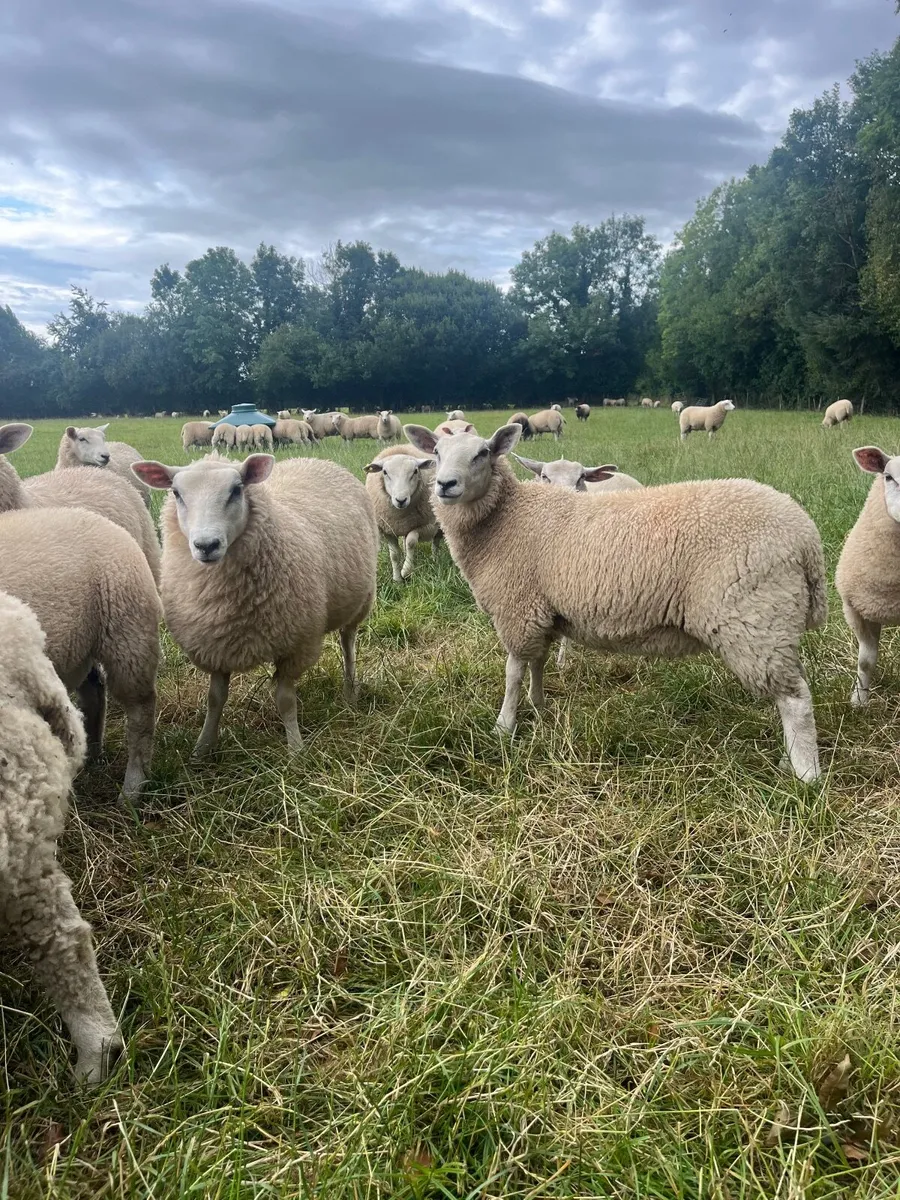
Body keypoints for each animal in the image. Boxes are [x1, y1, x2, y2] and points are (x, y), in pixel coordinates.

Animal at [0, 506, 160, 798]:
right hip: (78, 649)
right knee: (95, 691)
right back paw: (92, 755)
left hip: (128, 632)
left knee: (140, 710)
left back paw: (133, 788)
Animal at [132, 453, 378, 756]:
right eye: (176, 493)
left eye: (236, 490)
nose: (206, 545)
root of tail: (313, 459)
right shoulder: (215, 646)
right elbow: (215, 699)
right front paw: (203, 747)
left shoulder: (296, 644)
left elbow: (285, 700)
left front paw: (296, 750)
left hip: (361, 600)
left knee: (348, 644)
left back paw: (350, 691)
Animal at [364, 445, 440, 582]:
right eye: (385, 472)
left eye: (415, 471)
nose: (401, 500)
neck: (400, 516)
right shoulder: (389, 529)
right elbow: (394, 555)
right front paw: (397, 579)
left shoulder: (428, 526)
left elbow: (411, 541)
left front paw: (406, 571)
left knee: (436, 541)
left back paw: (435, 559)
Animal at [403, 423, 826, 782]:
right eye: (436, 453)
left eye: (482, 453)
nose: (444, 485)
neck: (506, 518)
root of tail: (805, 535)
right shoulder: (540, 610)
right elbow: (537, 663)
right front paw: (539, 707)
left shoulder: (517, 607)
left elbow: (513, 673)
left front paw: (504, 726)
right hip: (774, 618)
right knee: (794, 688)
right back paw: (792, 762)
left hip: (753, 618)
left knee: (796, 700)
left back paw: (805, 776)